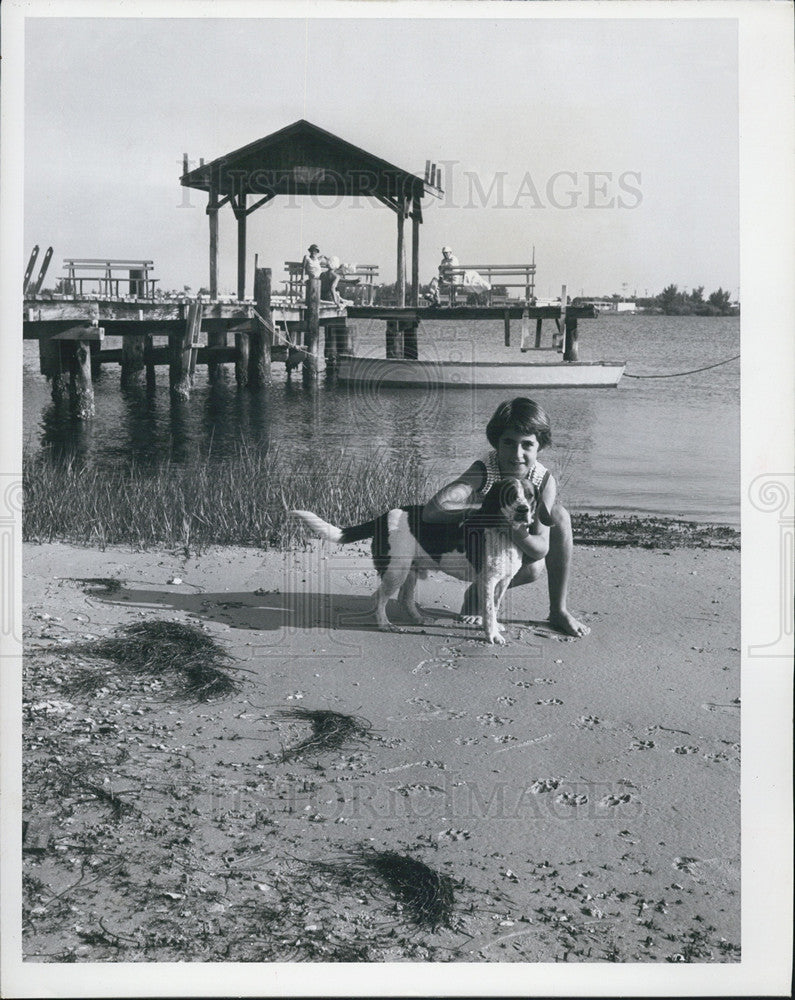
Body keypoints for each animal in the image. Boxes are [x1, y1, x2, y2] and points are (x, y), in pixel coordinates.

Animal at [290, 478, 536, 648]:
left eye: (530, 496)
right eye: (509, 495)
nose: (523, 510)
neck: (503, 532)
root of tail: (382, 517)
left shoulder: (502, 582)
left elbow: (495, 606)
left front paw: (494, 627)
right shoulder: (487, 581)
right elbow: (489, 609)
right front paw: (492, 634)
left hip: (410, 570)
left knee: (404, 598)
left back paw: (418, 618)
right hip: (396, 572)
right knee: (379, 597)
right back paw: (385, 624)